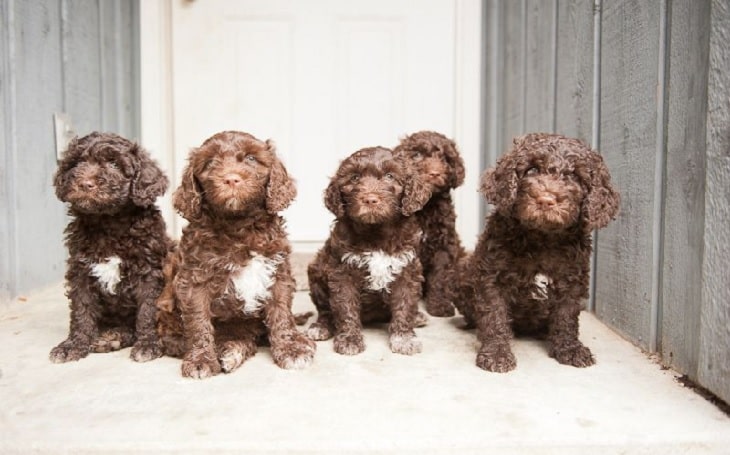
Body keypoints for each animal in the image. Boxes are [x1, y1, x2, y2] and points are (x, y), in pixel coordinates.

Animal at [50, 131, 171, 364]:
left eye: (114, 164)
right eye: (76, 163)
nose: (86, 183)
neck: (107, 224)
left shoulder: (150, 271)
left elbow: (148, 309)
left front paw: (148, 344)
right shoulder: (81, 271)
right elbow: (81, 309)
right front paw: (73, 345)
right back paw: (110, 337)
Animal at [159, 130, 312, 380]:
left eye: (251, 158)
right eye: (210, 163)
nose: (231, 179)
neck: (239, 227)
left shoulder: (277, 272)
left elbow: (281, 313)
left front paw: (291, 349)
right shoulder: (194, 279)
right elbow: (198, 320)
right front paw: (201, 360)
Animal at [308, 146, 432, 356]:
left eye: (390, 176)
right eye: (354, 178)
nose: (370, 199)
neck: (376, 232)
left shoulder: (407, 268)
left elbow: (404, 304)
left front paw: (404, 338)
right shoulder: (342, 271)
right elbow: (345, 306)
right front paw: (349, 339)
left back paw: (417, 316)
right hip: (316, 270)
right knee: (325, 309)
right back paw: (321, 326)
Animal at [396, 132, 464, 318]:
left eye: (445, 159)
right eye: (417, 155)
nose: (434, 173)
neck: (427, 206)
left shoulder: (445, 246)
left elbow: (440, 277)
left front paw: (439, 305)